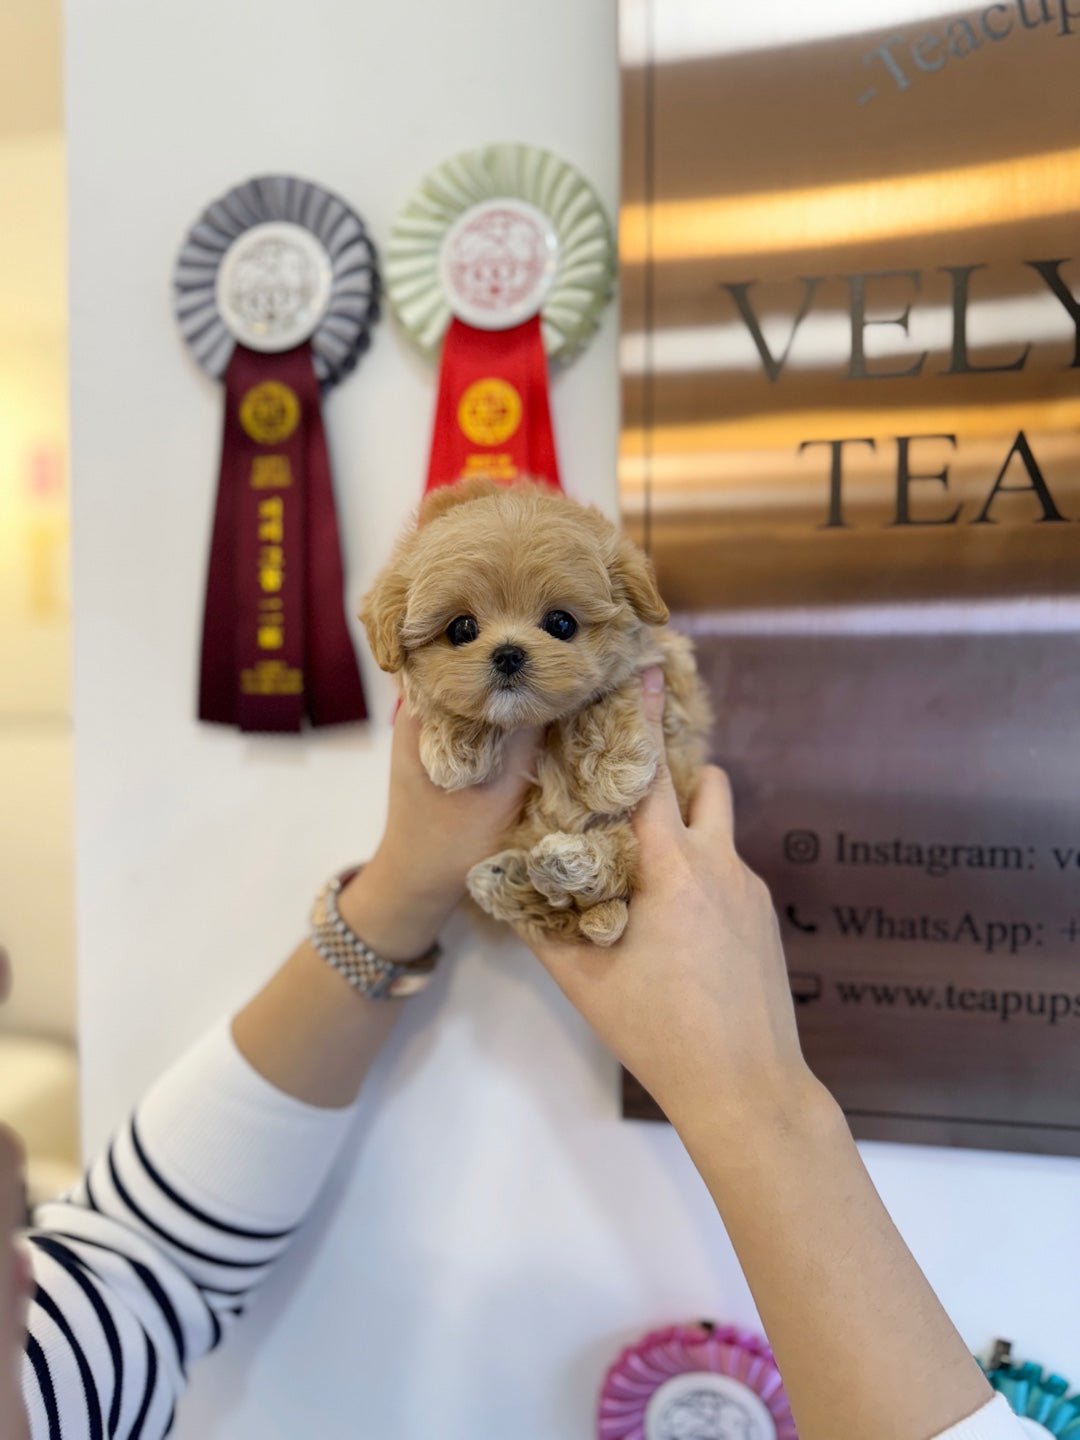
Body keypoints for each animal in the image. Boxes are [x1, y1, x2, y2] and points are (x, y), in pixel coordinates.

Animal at [364, 475, 714, 944]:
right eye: (461, 629)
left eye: (561, 624)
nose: (508, 654)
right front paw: (455, 747)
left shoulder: (663, 666)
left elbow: (608, 695)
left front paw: (615, 768)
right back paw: (509, 877)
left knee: (613, 876)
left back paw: (567, 863)